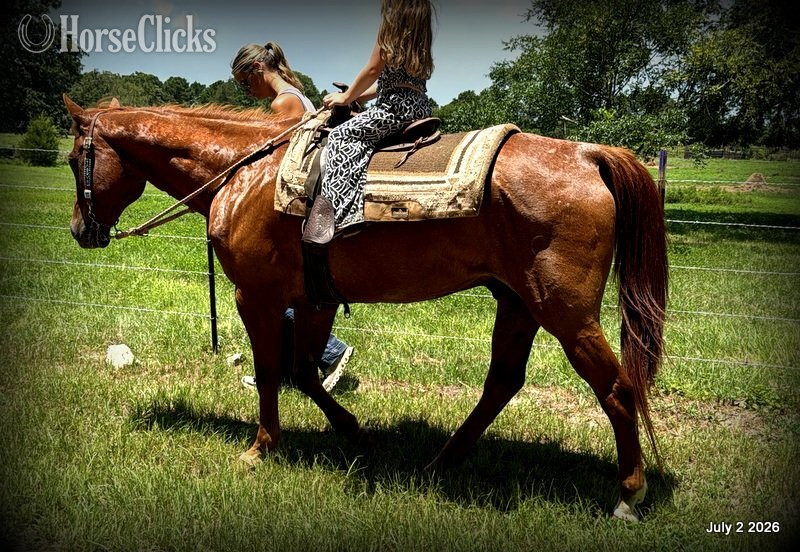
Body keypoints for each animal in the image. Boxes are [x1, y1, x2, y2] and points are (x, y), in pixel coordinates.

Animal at [62, 95, 667, 521]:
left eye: (73, 160)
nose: (79, 230)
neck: (243, 172)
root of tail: (587, 154)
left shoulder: (256, 297)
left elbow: (271, 372)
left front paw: (261, 448)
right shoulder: (314, 299)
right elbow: (305, 371)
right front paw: (357, 436)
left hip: (566, 314)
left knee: (616, 389)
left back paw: (628, 493)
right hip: (517, 303)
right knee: (502, 382)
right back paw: (440, 462)